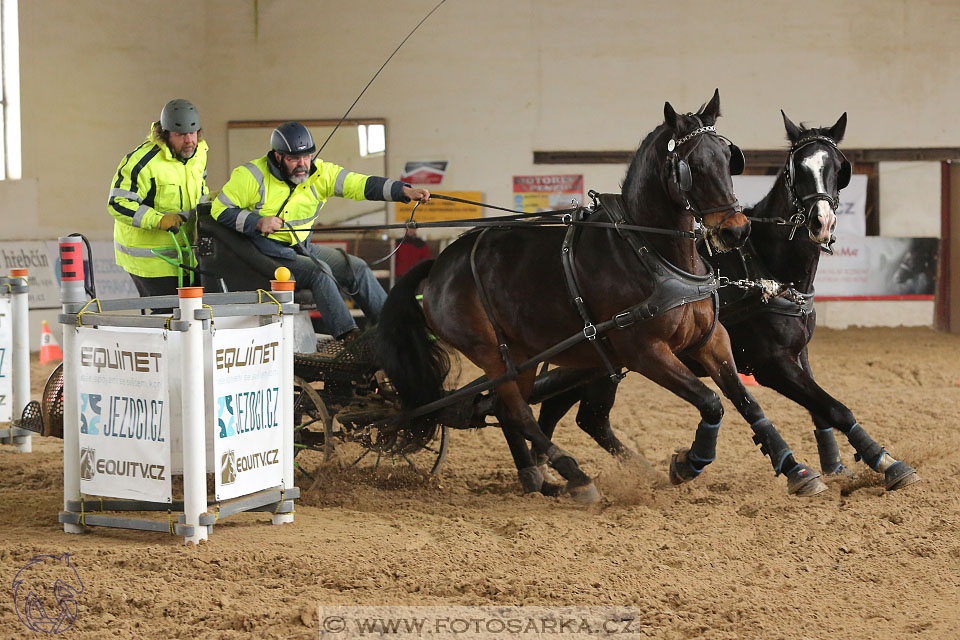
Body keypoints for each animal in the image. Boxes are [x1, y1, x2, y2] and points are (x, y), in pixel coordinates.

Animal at [376, 91, 824, 500]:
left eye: (729, 158)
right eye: (691, 166)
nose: (736, 231)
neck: (654, 251)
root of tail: (438, 264)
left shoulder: (712, 340)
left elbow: (747, 401)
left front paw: (796, 468)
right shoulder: (645, 351)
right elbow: (711, 402)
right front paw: (687, 462)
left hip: (520, 354)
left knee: (510, 410)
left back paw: (541, 479)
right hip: (490, 353)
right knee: (520, 412)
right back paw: (574, 476)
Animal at [544, 114, 920, 496]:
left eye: (839, 167)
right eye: (797, 167)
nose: (821, 221)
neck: (768, 267)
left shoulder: (798, 353)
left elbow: (822, 409)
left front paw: (843, 465)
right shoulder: (771, 363)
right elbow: (833, 407)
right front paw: (880, 463)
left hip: (594, 366)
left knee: (574, 415)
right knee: (573, 413)